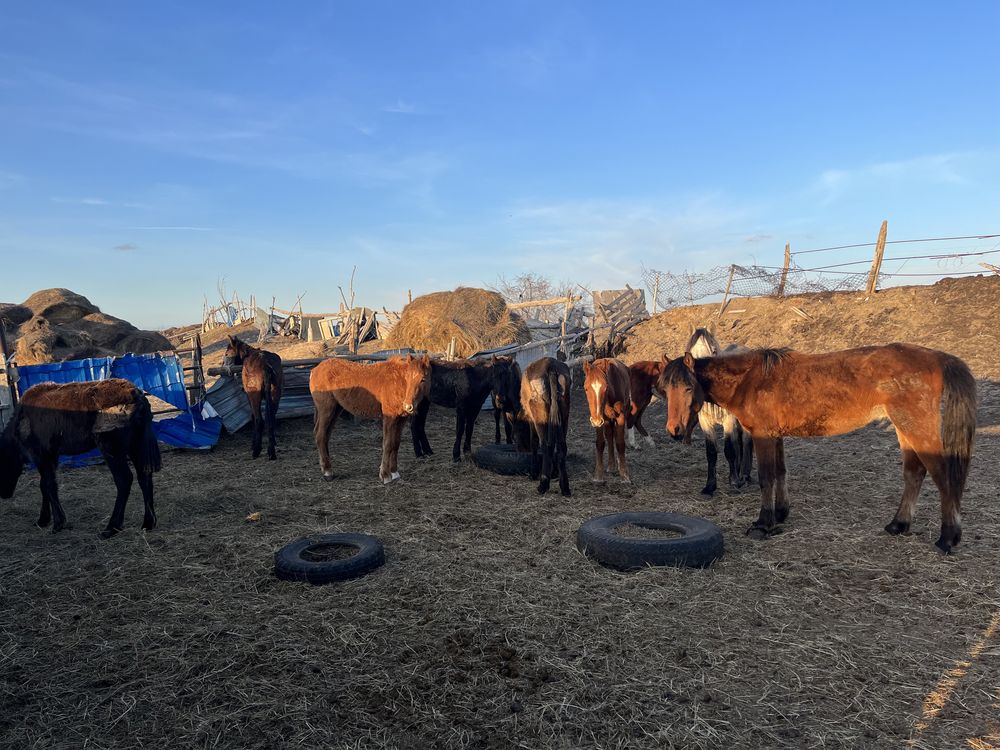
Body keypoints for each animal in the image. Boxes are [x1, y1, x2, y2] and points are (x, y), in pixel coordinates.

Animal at [0, 382, 160, 540]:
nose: (4, 494)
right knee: (144, 476)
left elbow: (48, 485)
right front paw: (43, 520)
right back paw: (148, 523)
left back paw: (111, 527)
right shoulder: (52, 455)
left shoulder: (40, 454)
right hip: (136, 445)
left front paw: (58, 523)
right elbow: (44, 485)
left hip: (111, 447)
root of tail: (139, 397)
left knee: (124, 479)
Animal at [310, 356, 432, 484]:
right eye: (407, 378)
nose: (408, 406)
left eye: (423, 379)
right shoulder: (389, 418)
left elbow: (395, 444)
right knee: (320, 435)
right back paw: (327, 472)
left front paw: (395, 473)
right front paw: (385, 476)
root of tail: (315, 369)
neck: (397, 382)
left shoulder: (401, 420)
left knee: (325, 436)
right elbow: (387, 444)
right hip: (326, 410)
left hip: (336, 410)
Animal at [516, 360, 572, 500]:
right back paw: (564, 487)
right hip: (564, 415)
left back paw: (543, 484)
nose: (520, 448)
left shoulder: (532, 421)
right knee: (561, 447)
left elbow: (534, 442)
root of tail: (550, 366)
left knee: (546, 445)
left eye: (518, 431)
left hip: (540, 416)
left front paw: (533, 473)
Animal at [660, 346, 980, 552]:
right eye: (665, 390)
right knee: (914, 474)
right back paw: (898, 525)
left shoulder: (763, 436)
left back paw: (948, 538)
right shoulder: (776, 436)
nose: (674, 430)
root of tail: (936, 357)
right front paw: (781, 514)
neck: (751, 380)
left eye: (688, 388)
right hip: (904, 430)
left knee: (943, 478)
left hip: (915, 428)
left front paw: (763, 524)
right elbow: (781, 473)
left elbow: (766, 478)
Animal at [692, 328, 752, 494]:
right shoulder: (705, 422)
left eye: (713, 351)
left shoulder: (728, 420)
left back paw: (745, 475)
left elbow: (729, 449)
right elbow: (711, 452)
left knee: (746, 441)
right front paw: (710, 486)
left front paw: (734, 482)